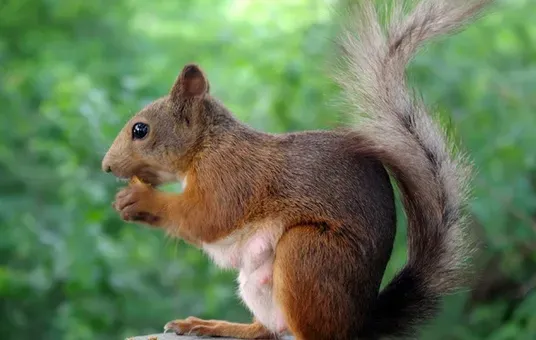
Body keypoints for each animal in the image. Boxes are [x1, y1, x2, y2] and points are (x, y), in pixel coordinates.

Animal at [102, 0, 492, 340]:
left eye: (140, 130)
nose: (106, 166)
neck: (207, 145)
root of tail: (358, 325)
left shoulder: (232, 176)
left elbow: (206, 216)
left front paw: (140, 199)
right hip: (259, 283)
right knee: (269, 330)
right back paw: (217, 326)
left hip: (307, 254)